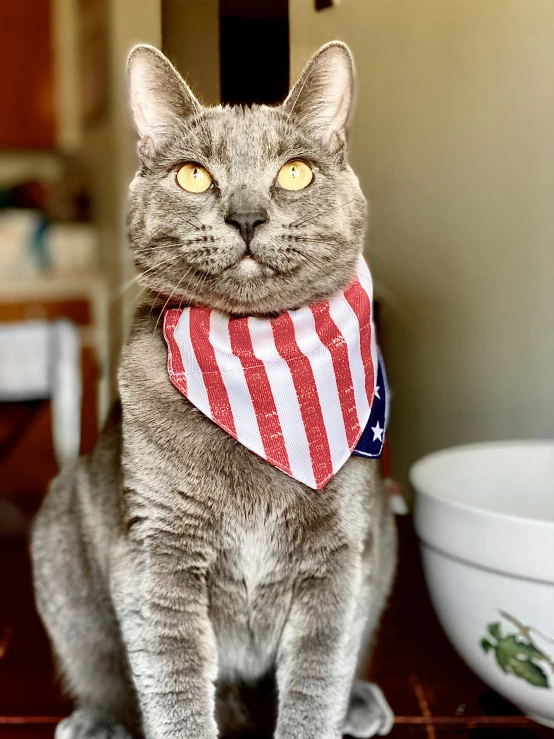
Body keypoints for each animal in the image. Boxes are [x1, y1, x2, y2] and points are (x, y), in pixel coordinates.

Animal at [30, 42, 394, 739]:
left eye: (296, 173)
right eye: (193, 177)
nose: (246, 216)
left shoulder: (340, 556)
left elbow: (318, 680)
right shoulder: (156, 554)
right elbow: (171, 684)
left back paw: (362, 702)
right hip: (60, 536)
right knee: (100, 666)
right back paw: (98, 721)